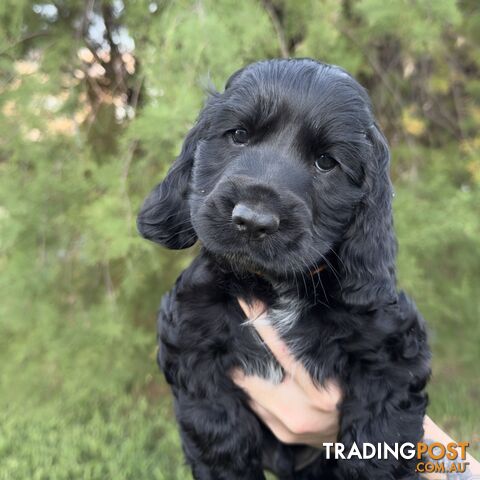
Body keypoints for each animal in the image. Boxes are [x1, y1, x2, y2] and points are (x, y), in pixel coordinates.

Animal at [137, 58, 430, 478]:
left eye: (326, 162)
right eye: (238, 135)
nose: (253, 221)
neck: (274, 289)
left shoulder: (392, 354)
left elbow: (378, 444)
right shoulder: (191, 343)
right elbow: (218, 437)